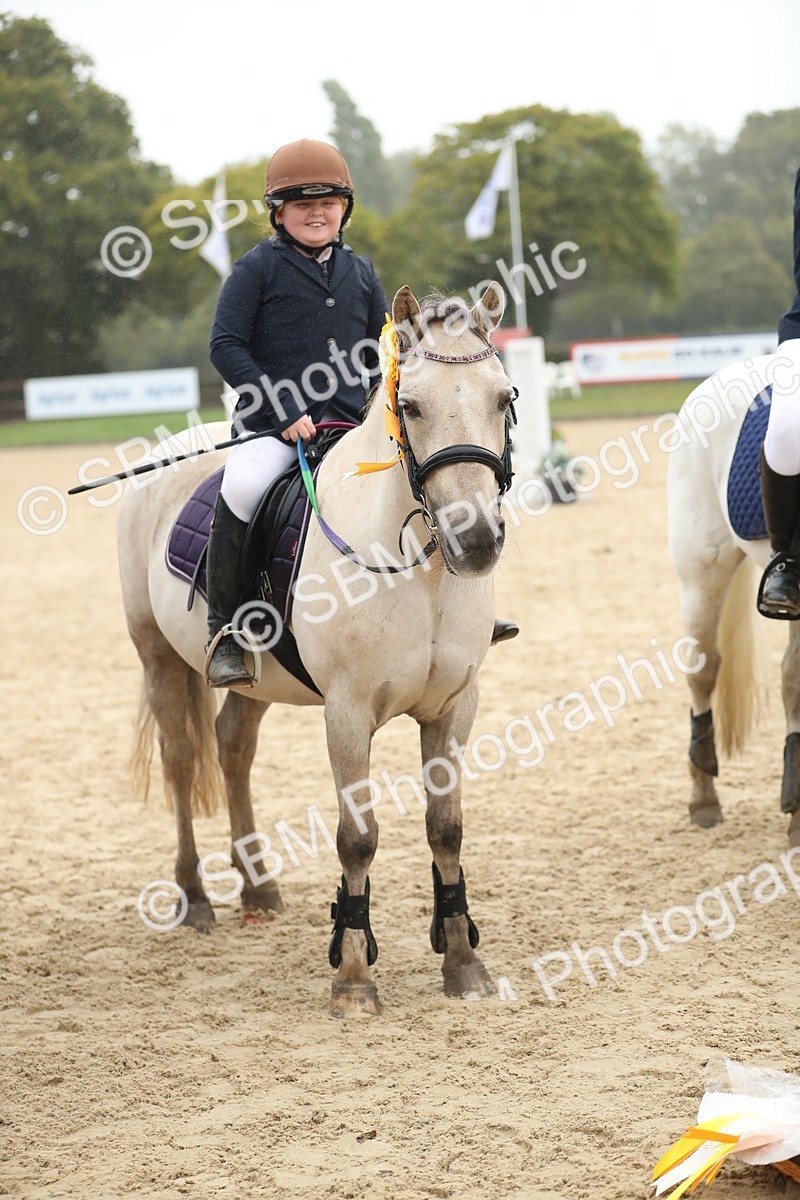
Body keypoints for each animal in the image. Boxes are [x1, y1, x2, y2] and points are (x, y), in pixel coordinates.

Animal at [116, 282, 518, 1016]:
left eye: (502, 398)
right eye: (411, 407)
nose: (474, 540)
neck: (420, 570)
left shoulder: (454, 706)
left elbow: (446, 829)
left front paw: (464, 964)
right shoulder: (348, 713)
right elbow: (357, 839)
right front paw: (353, 979)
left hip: (255, 681)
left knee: (233, 746)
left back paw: (258, 887)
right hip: (156, 657)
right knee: (181, 760)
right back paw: (194, 896)